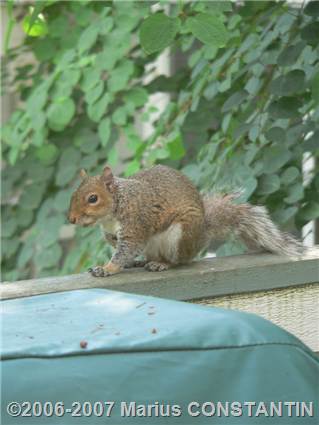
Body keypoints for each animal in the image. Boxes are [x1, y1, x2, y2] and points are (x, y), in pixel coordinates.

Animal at [68, 164, 304, 276]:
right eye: (73, 195)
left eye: (93, 198)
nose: (71, 219)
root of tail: (200, 237)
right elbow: (117, 245)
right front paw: (117, 258)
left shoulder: (136, 223)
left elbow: (125, 250)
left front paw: (107, 269)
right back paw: (142, 261)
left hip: (180, 236)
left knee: (179, 261)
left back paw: (162, 264)